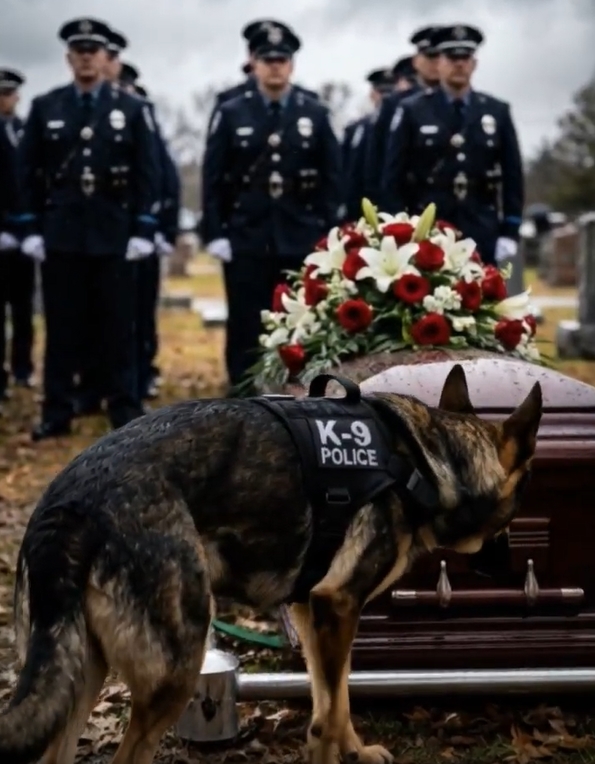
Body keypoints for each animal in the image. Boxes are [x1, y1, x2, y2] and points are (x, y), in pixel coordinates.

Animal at [0, 364, 542, 764]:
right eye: (515, 509)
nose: (509, 565)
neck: (431, 462)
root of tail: (72, 503)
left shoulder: (315, 611)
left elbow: (335, 698)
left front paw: (356, 750)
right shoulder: (337, 604)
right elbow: (327, 716)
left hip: (79, 676)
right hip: (174, 669)